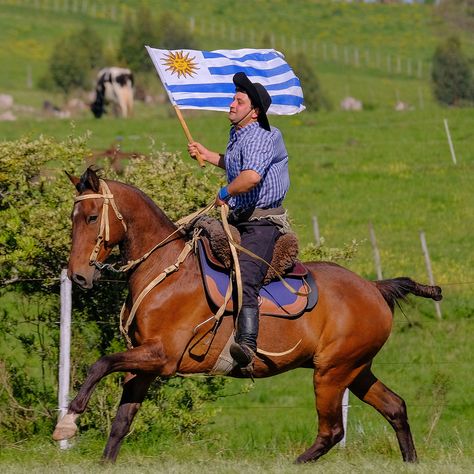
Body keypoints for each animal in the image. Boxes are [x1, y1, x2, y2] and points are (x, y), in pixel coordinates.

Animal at [53, 168, 442, 462]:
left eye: (91, 217)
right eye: (72, 219)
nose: (79, 276)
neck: (165, 270)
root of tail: (374, 287)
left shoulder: (161, 356)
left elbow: (100, 364)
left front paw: (68, 421)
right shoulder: (144, 363)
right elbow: (122, 420)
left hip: (331, 373)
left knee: (331, 431)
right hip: (355, 369)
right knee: (395, 407)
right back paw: (410, 461)